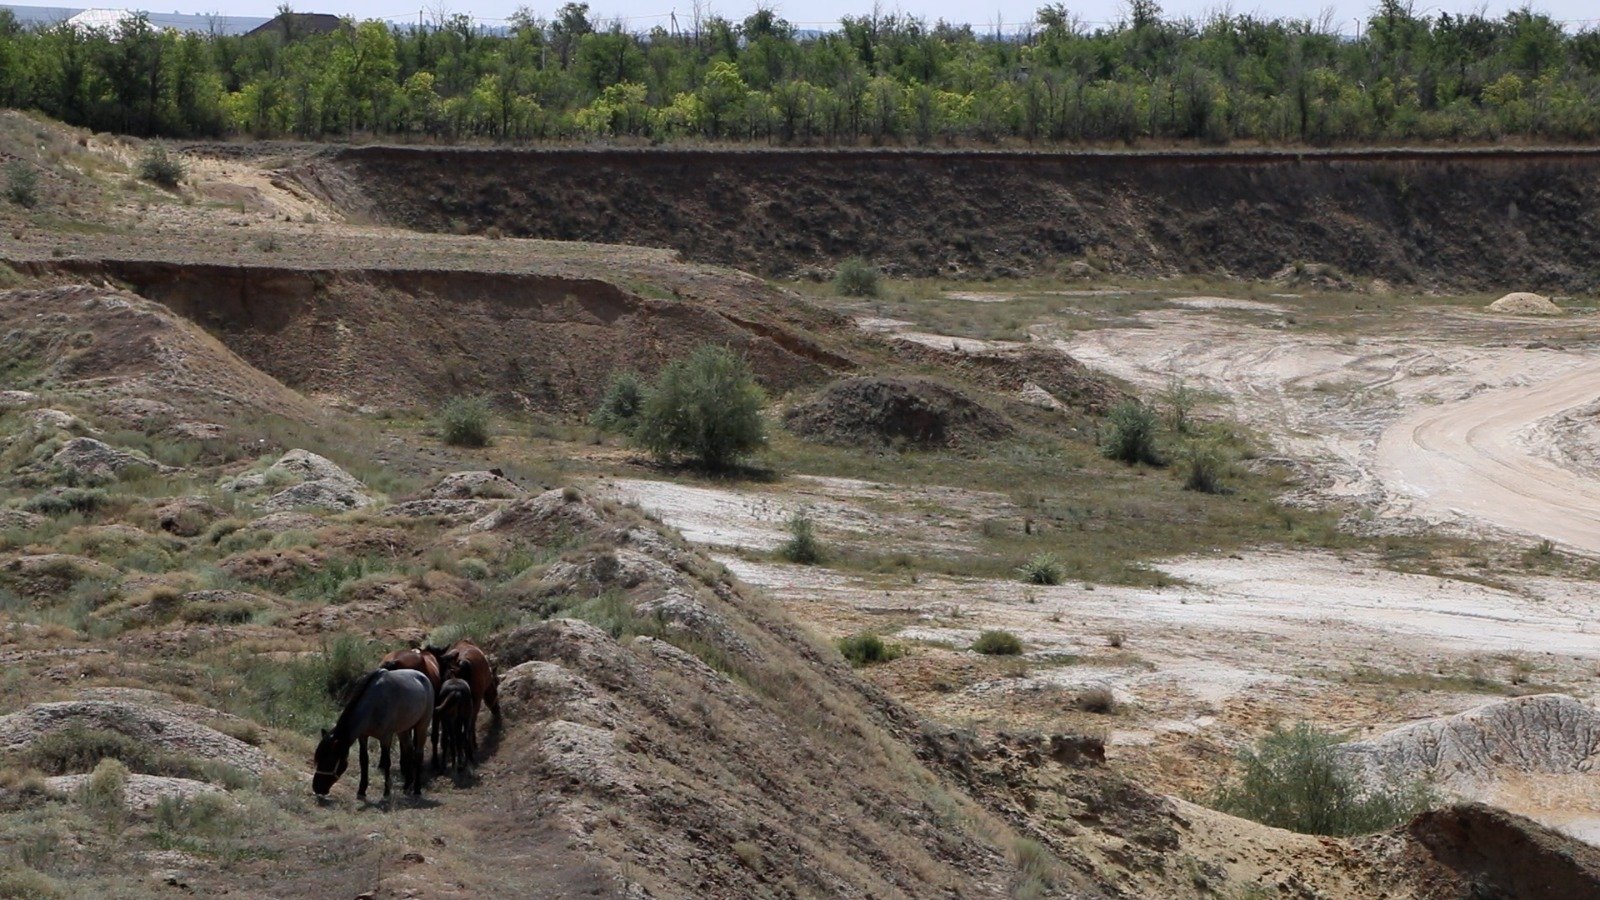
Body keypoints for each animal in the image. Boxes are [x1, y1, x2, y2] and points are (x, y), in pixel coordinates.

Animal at [312, 666, 435, 797]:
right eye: (318, 760)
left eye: (329, 762)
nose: (317, 788)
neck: (373, 706)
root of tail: (424, 677)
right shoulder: (363, 736)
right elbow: (364, 760)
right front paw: (362, 789)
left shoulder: (386, 738)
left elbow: (386, 762)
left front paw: (387, 791)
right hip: (403, 729)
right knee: (409, 750)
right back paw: (407, 784)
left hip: (422, 726)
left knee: (418, 754)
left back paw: (417, 788)